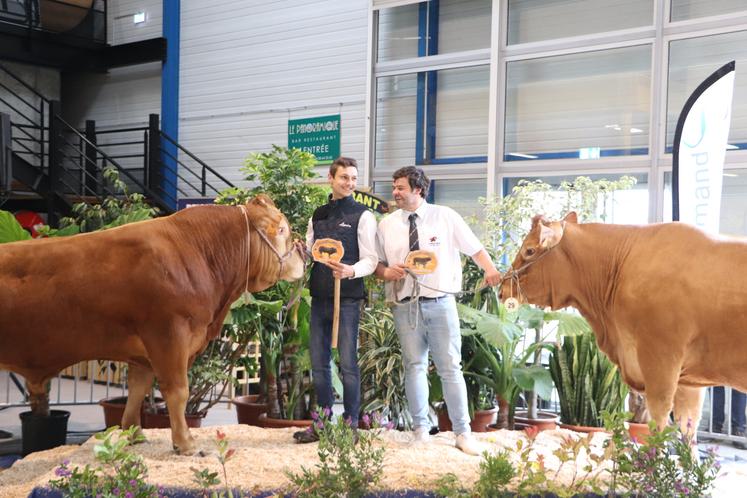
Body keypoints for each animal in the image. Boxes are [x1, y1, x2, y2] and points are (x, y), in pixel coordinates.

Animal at [0, 195, 306, 456]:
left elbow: (138, 390)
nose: (304, 254)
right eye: (282, 229)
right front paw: (185, 443)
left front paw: (134, 434)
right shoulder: (169, 334)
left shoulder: (144, 350)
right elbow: (178, 391)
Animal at [500, 212, 747, 434]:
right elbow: (688, 429)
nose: (502, 289)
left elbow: (658, 427)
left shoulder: (661, 362)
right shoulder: (689, 380)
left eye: (529, 250)